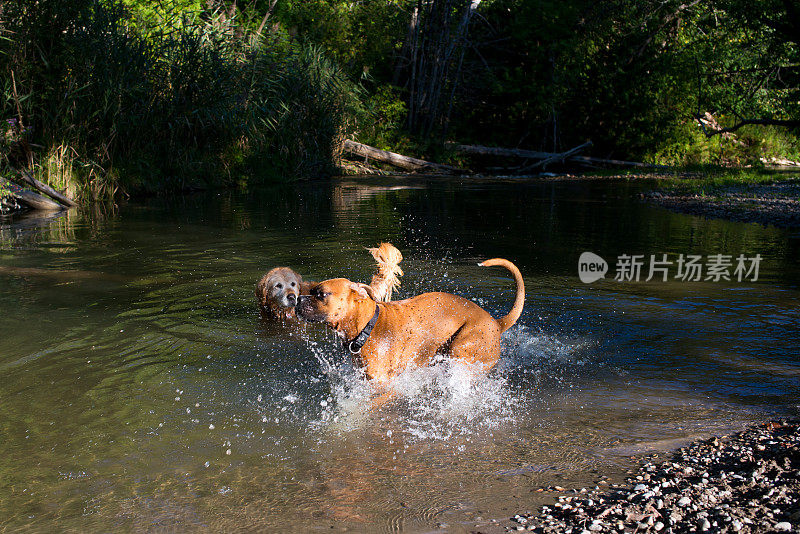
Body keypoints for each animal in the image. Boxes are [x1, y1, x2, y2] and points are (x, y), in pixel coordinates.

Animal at [294, 258, 524, 400]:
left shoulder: (382, 386)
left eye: (321, 294)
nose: (297, 299)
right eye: (310, 291)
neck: (368, 326)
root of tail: (496, 323)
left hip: (462, 348)